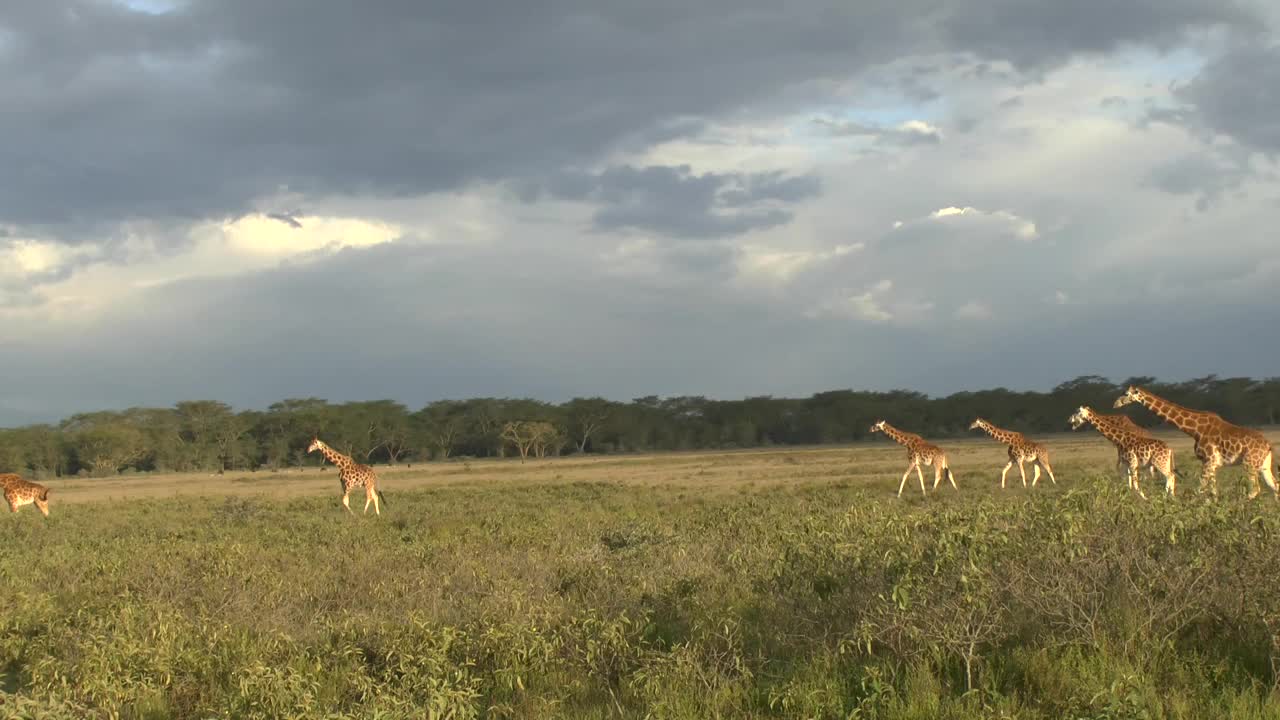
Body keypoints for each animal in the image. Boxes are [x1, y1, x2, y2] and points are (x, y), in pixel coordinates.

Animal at [1111, 386, 1269, 499]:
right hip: (1262, 466)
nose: (1115, 403)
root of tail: (1268, 446)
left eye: (1126, 394)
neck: (1195, 430)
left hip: (1250, 464)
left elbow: (1200, 488)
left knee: (1255, 489)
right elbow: (1213, 491)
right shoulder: (1212, 463)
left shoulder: (1208, 461)